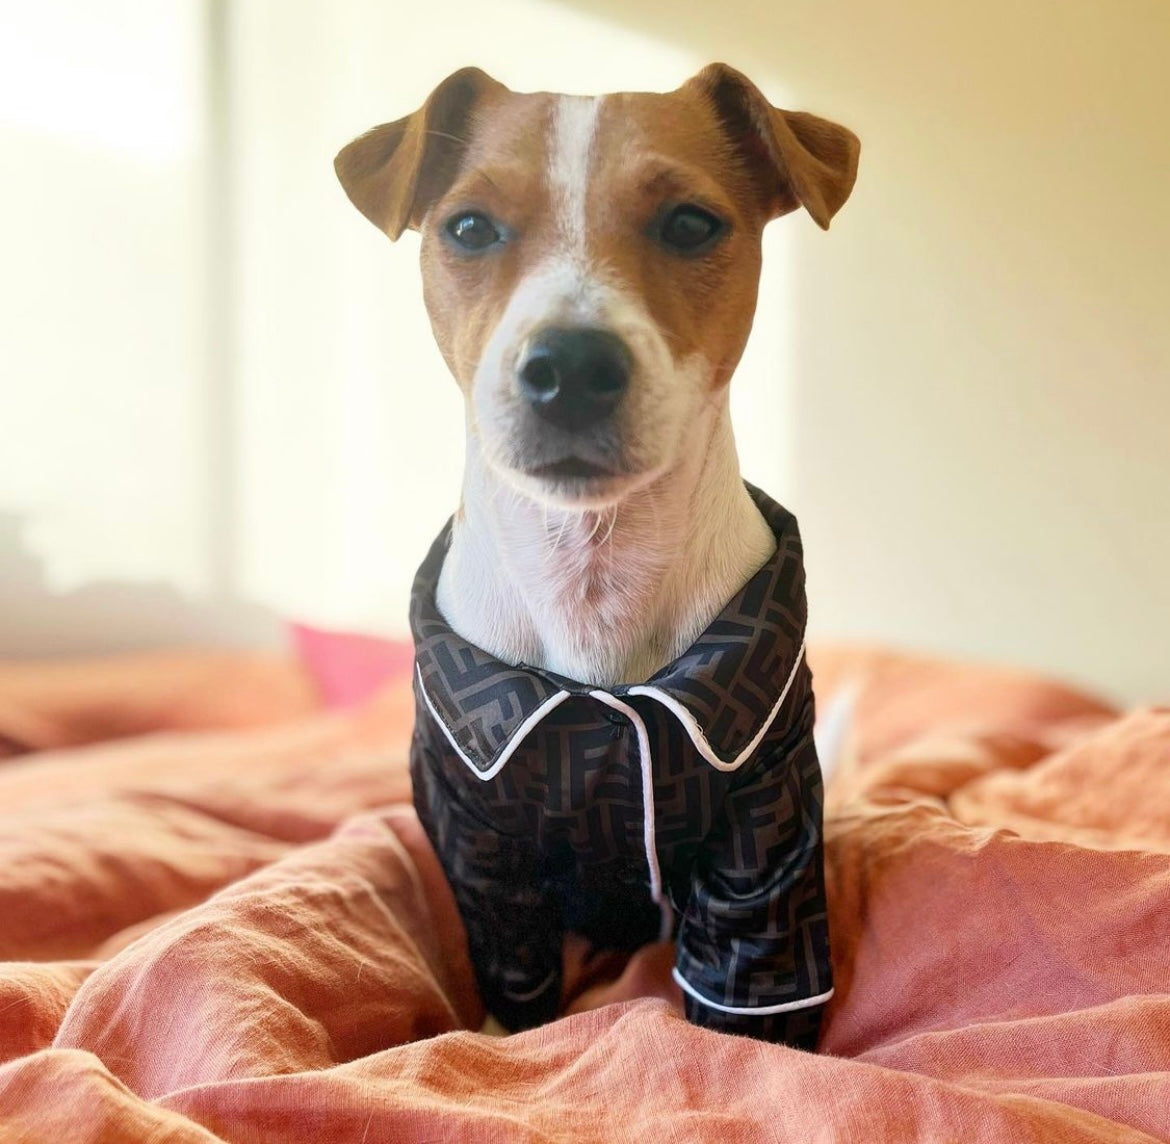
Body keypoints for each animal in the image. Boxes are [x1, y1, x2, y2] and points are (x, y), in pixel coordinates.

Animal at [335, 64, 858, 1047]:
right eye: (470, 227)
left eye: (690, 223)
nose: (570, 366)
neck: (592, 571)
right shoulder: (483, 846)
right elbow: (517, 985)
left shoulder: (764, 828)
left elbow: (750, 1000)